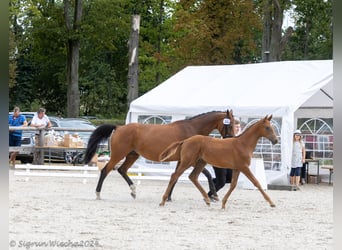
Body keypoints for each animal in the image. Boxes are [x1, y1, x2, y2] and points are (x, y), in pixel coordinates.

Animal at [84, 110, 234, 200]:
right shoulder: (190, 160)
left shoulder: (181, 160)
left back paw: (133, 191)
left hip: (132, 155)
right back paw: (98, 194)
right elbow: (207, 174)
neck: (192, 129)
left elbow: (175, 177)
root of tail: (119, 127)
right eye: (231, 124)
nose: (231, 139)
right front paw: (214, 195)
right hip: (118, 155)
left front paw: (169, 197)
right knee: (106, 170)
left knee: (122, 170)